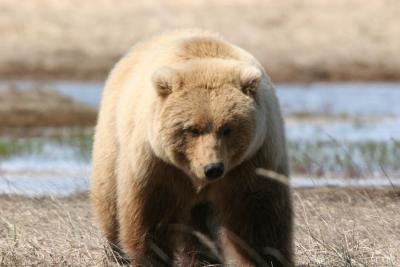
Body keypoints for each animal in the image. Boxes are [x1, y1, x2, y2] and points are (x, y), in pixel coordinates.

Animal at [90, 29, 292, 267]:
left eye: (227, 128)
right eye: (192, 129)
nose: (213, 168)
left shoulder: (254, 160)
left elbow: (259, 218)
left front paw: (269, 257)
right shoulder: (156, 165)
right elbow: (151, 218)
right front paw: (151, 257)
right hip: (113, 139)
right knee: (109, 202)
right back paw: (116, 252)